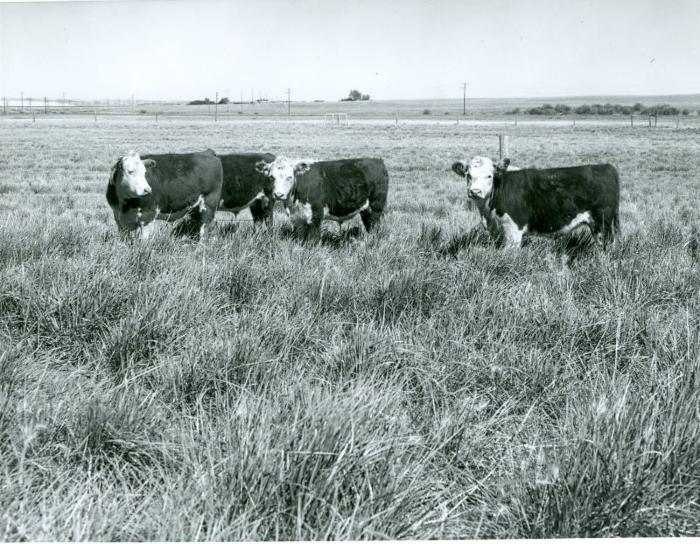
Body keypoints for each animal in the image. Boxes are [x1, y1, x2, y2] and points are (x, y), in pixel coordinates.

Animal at [448, 156, 616, 252]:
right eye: (468, 175)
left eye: (489, 176)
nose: (475, 191)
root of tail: (605, 166)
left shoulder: (513, 230)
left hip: (603, 224)